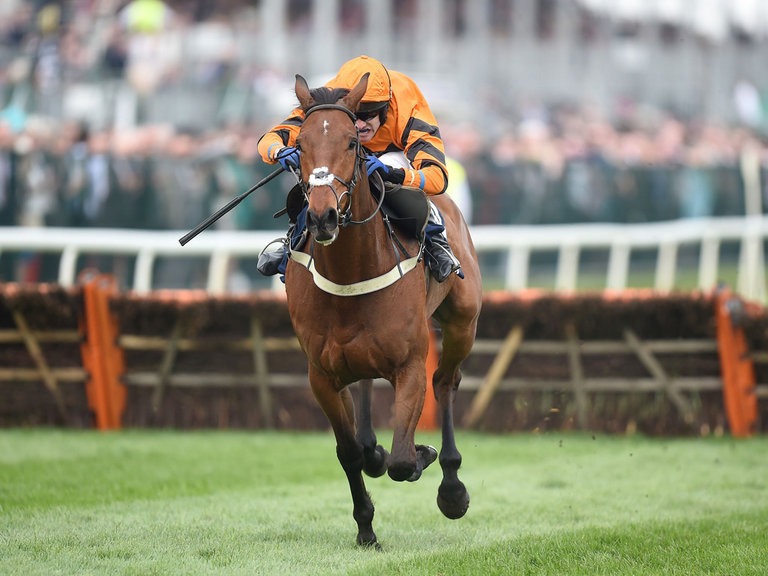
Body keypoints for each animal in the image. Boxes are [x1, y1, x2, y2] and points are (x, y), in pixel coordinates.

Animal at [284, 73, 484, 548]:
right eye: (300, 144)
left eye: (351, 144)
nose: (322, 217)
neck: (351, 274)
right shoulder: (321, 375)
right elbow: (350, 453)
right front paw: (365, 528)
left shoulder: (409, 365)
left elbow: (402, 460)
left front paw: (424, 454)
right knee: (365, 391)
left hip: (463, 321)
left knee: (445, 380)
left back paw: (452, 486)